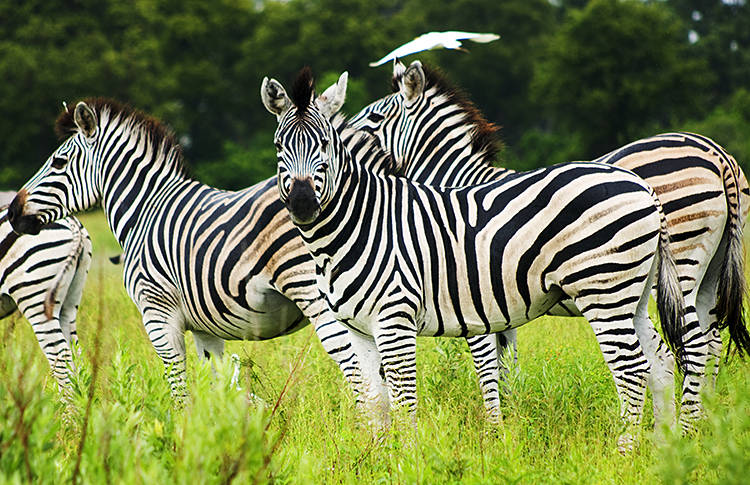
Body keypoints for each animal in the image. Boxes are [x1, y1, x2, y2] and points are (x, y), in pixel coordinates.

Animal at [262, 68, 692, 450]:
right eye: (279, 146)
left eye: (326, 144)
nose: (302, 203)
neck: (360, 222)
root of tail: (643, 187)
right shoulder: (357, 326)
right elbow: (374, 400)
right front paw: (376, 458)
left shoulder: (402, 318)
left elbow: (413, 398)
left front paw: (413, 458)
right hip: (633, 294)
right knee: (660, 361)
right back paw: (665, 448)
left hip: (605, 290)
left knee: (633, 368)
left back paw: (626, 451)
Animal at [344, 60, 748, 432]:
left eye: (375, 116)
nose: (341, 134)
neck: (460, 184)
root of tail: (717, 155)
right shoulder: (496, 301)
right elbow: (506, 365)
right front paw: (510, 424)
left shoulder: (471, 297)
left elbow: (485, 367)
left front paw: (494, 429)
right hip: (708, 274)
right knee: (710, 342)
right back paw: (700, 425)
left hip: (678, 270)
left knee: (693, 346)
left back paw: (687, 429)